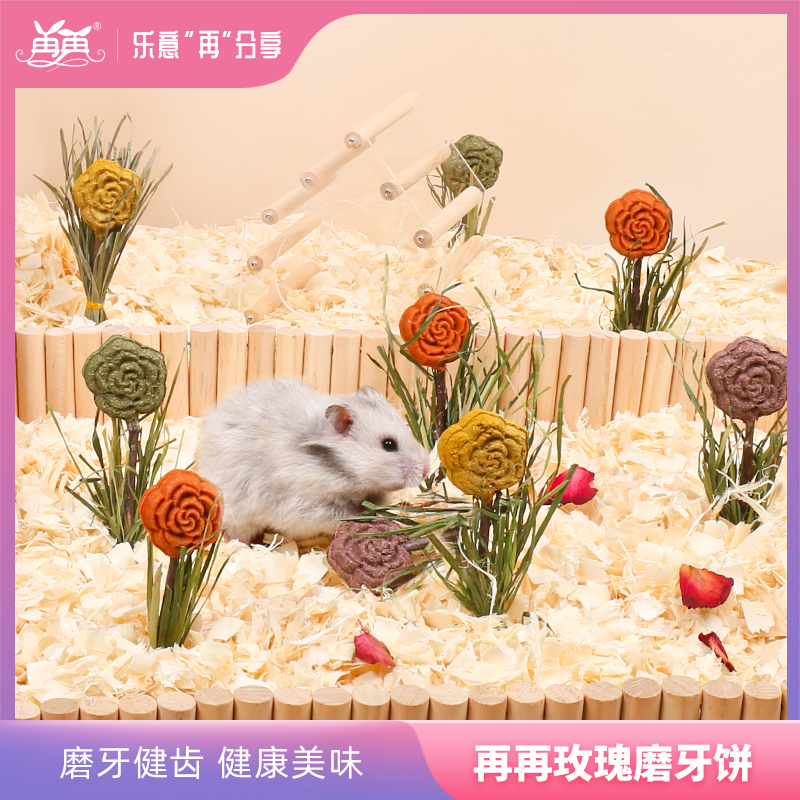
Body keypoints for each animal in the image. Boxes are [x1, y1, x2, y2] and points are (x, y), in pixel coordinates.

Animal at [196, 378, 430, 544]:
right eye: (389, 444)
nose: (427, 469)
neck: (334, 468)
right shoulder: (306, 506)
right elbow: (341, 515)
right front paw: (363, 514)